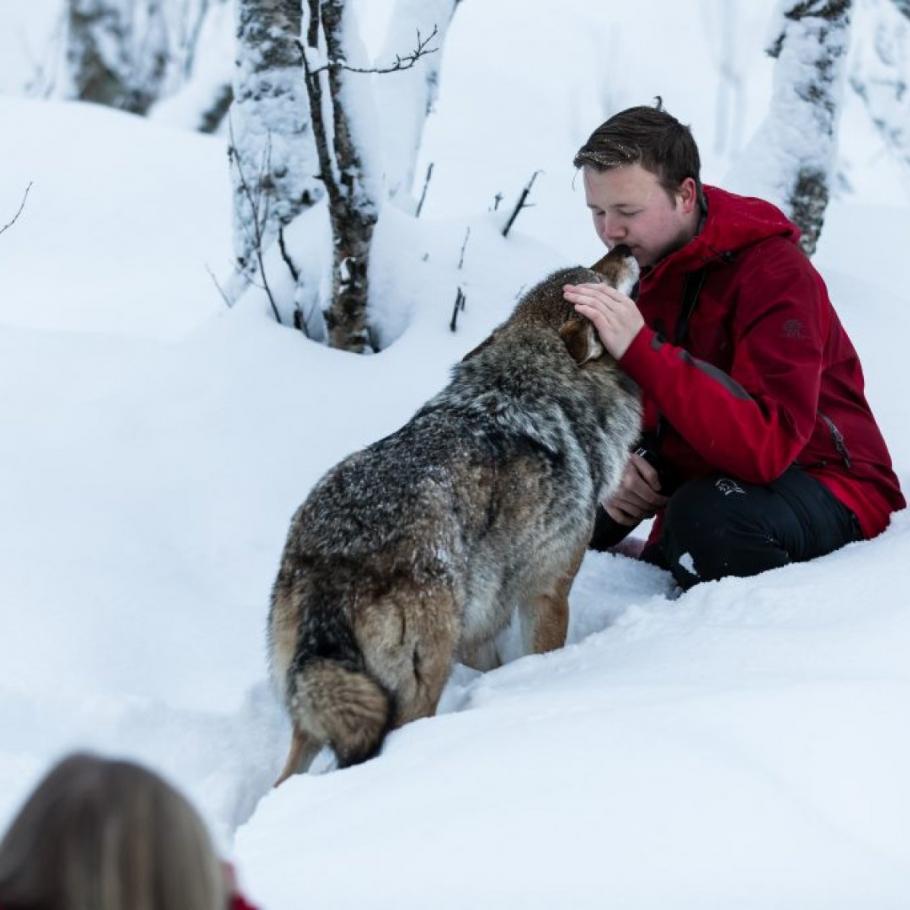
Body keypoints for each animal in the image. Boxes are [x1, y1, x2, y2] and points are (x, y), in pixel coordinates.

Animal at [268, 244, 640, 784]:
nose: (626, 248)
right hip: (419, 686)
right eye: (599, 279)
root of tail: (336, 556)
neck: (529, 382)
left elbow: (494, 662)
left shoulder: (481, 615)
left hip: (317, 702)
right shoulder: (548, 592)